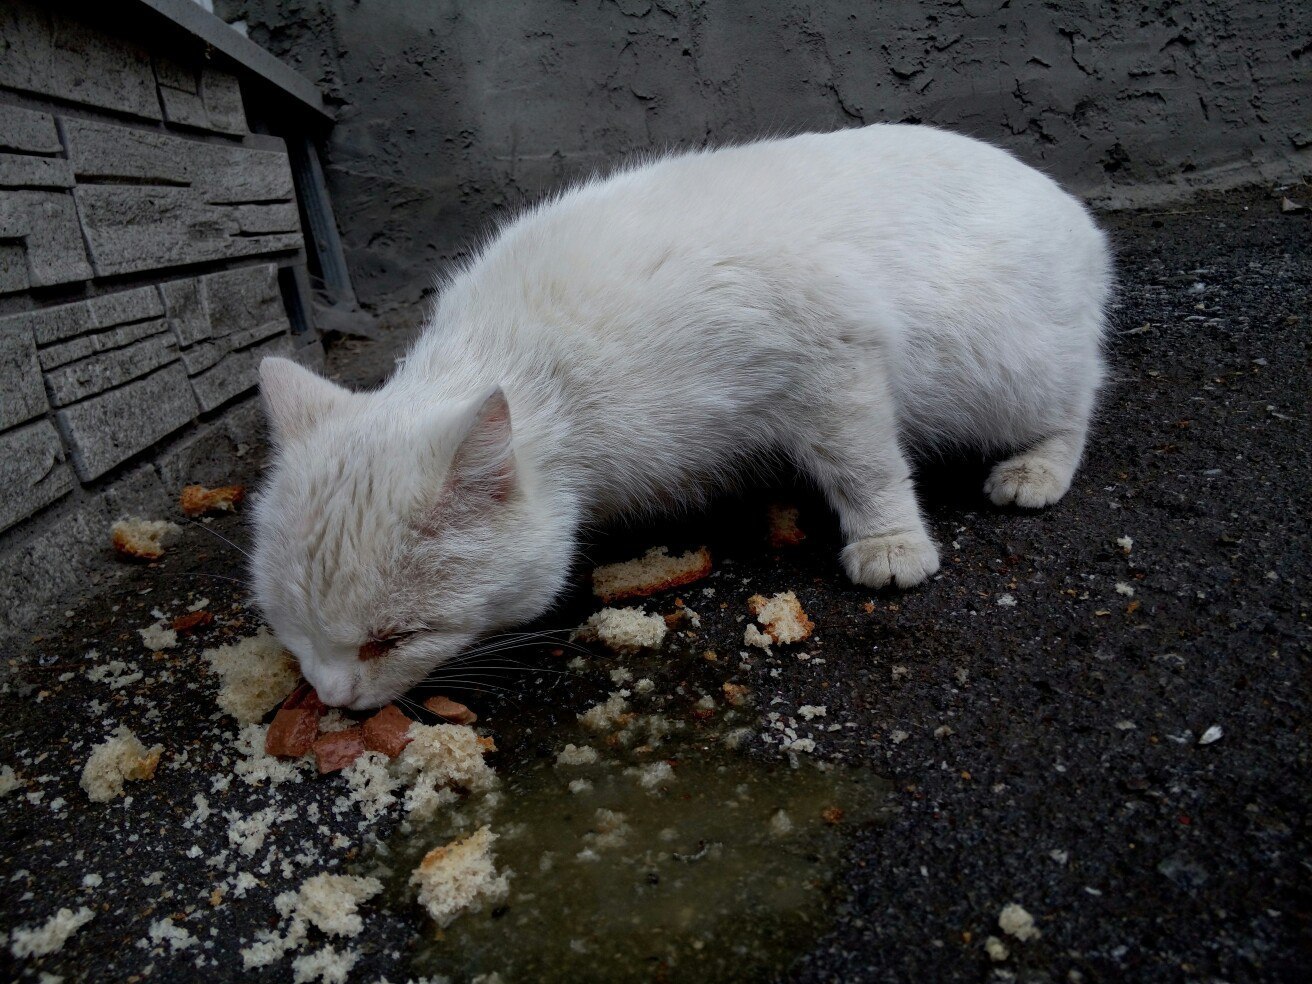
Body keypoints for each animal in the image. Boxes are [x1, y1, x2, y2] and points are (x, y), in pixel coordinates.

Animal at [250, 125, 1112, 708]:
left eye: (392, 640)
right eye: (295, 630)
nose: (332, 699)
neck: (538, 361)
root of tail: (1076, 209)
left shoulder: (833, 352)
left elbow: (866, 465)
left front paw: (889, 541)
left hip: (1002, 368)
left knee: (1082, 394)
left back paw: (1038, 465)